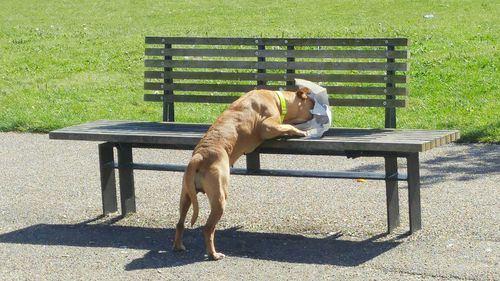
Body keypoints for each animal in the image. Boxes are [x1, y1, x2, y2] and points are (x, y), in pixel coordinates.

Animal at [172, 88, 312, 260]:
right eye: (312, 103)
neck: (277, 99)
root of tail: (200, 155)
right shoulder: (267, 126)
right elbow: (286, 126)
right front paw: (301, 131)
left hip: (186, 195)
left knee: (180, 222)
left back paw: (178, 246)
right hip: (220, 197)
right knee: (208, 228)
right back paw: (213, 254)